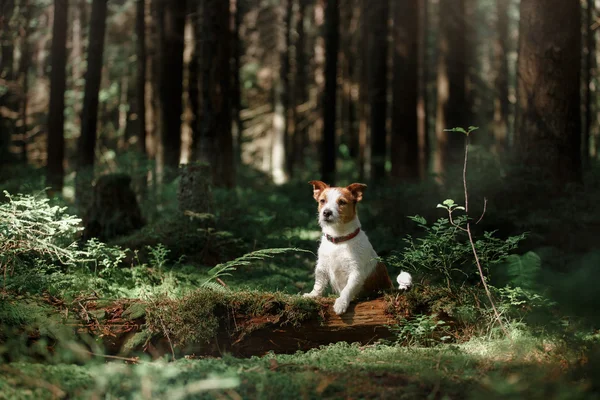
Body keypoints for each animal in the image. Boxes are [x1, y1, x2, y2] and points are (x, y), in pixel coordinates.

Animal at [302, 181, 410, 316]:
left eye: (342, 202)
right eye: (322, 201)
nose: (326, 212)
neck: (339, 239)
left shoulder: (356, 272)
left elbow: (347, 289)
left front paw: (341, 303)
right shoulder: (322, 267)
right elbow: (318, 284)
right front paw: (312, 295)